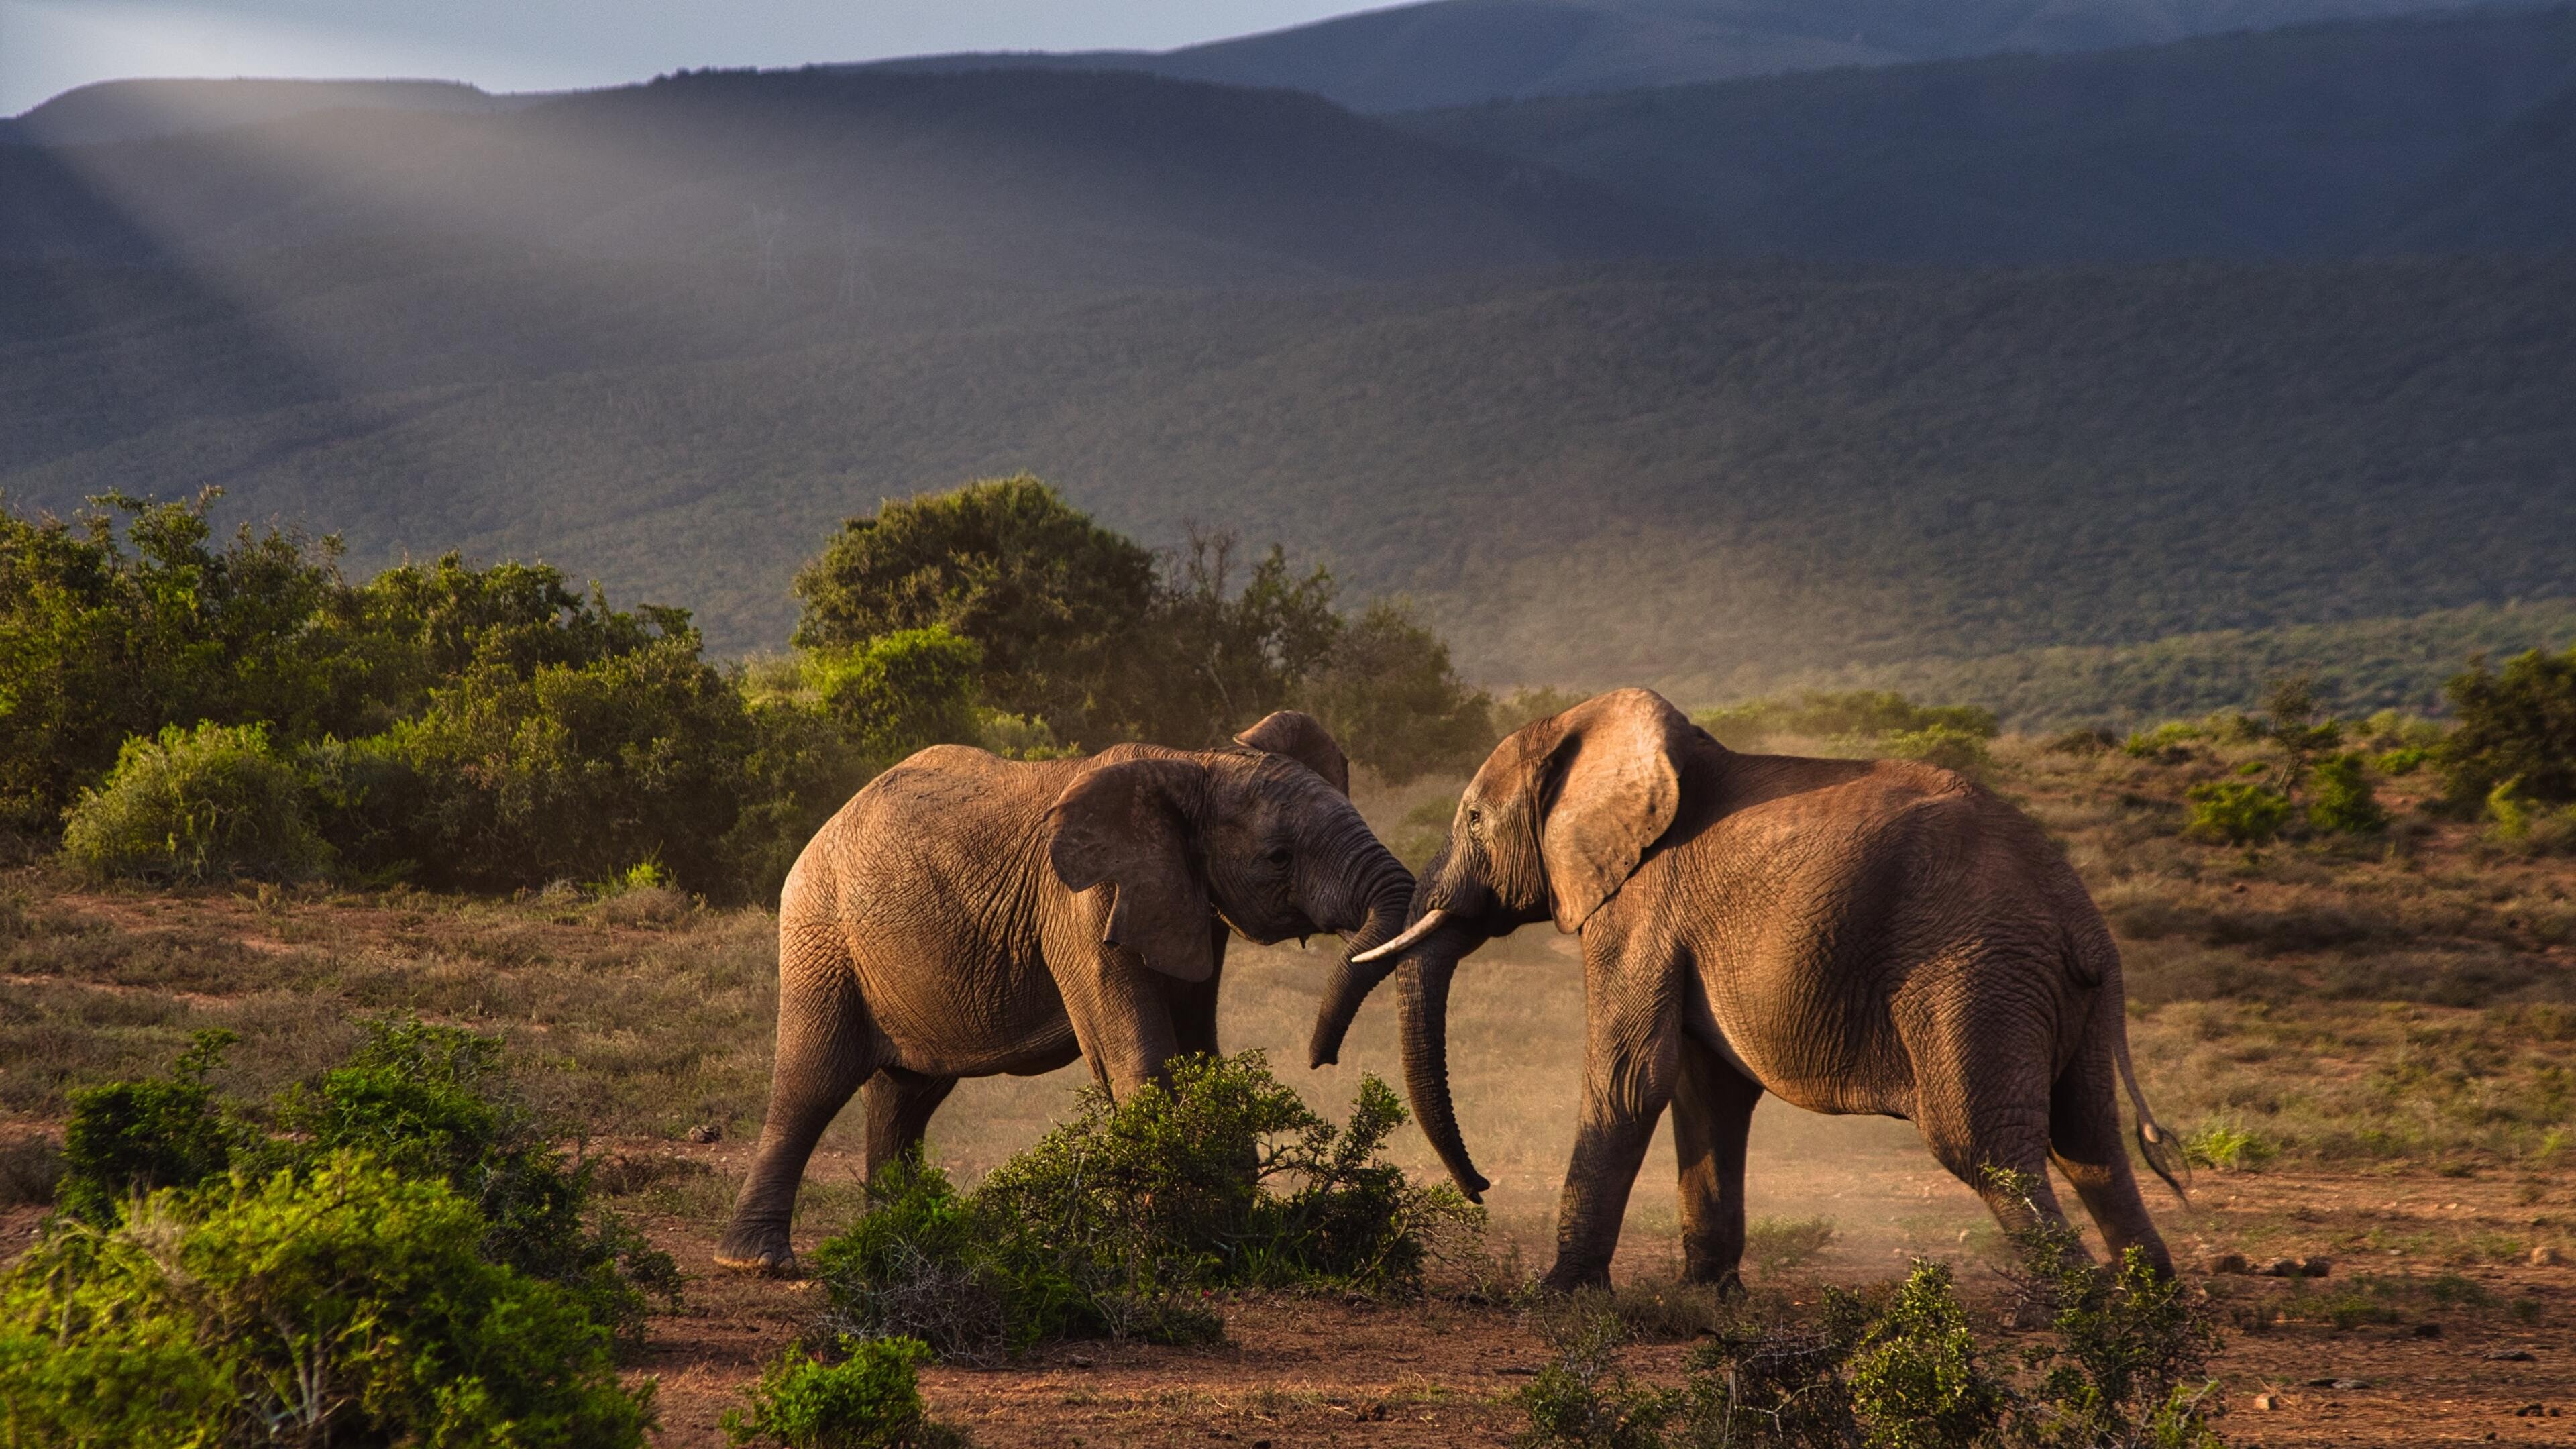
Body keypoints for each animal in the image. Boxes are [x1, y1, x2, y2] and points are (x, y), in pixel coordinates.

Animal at [716, 706, 1421, 1263]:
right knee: (814, 1079)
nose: (1320, 1058)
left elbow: (1200, 1054)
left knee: (906, 1095)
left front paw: (1222, 1232)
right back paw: (757, 1262)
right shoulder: (1081, 908)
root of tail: (829, 825)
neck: (1195, 762)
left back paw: (898, 1246)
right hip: (821, 934)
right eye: (1278, 857)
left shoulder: (1183, 903)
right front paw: (1169, 1244)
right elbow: (1138, 1056)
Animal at [1319, 686, 2184, 1284]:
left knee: (1984, 1144)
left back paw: (2078, 1316)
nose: (1480, 1187)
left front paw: (1560, 1295)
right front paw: (1709, 1297)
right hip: (2048, 992)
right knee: (2089, 1141)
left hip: (1974, 976)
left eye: (1471, 820)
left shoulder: (1642, 908)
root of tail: (2082, 917)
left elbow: (1629, 1079)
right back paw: (2147, 1306)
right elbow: (1706, 1090)